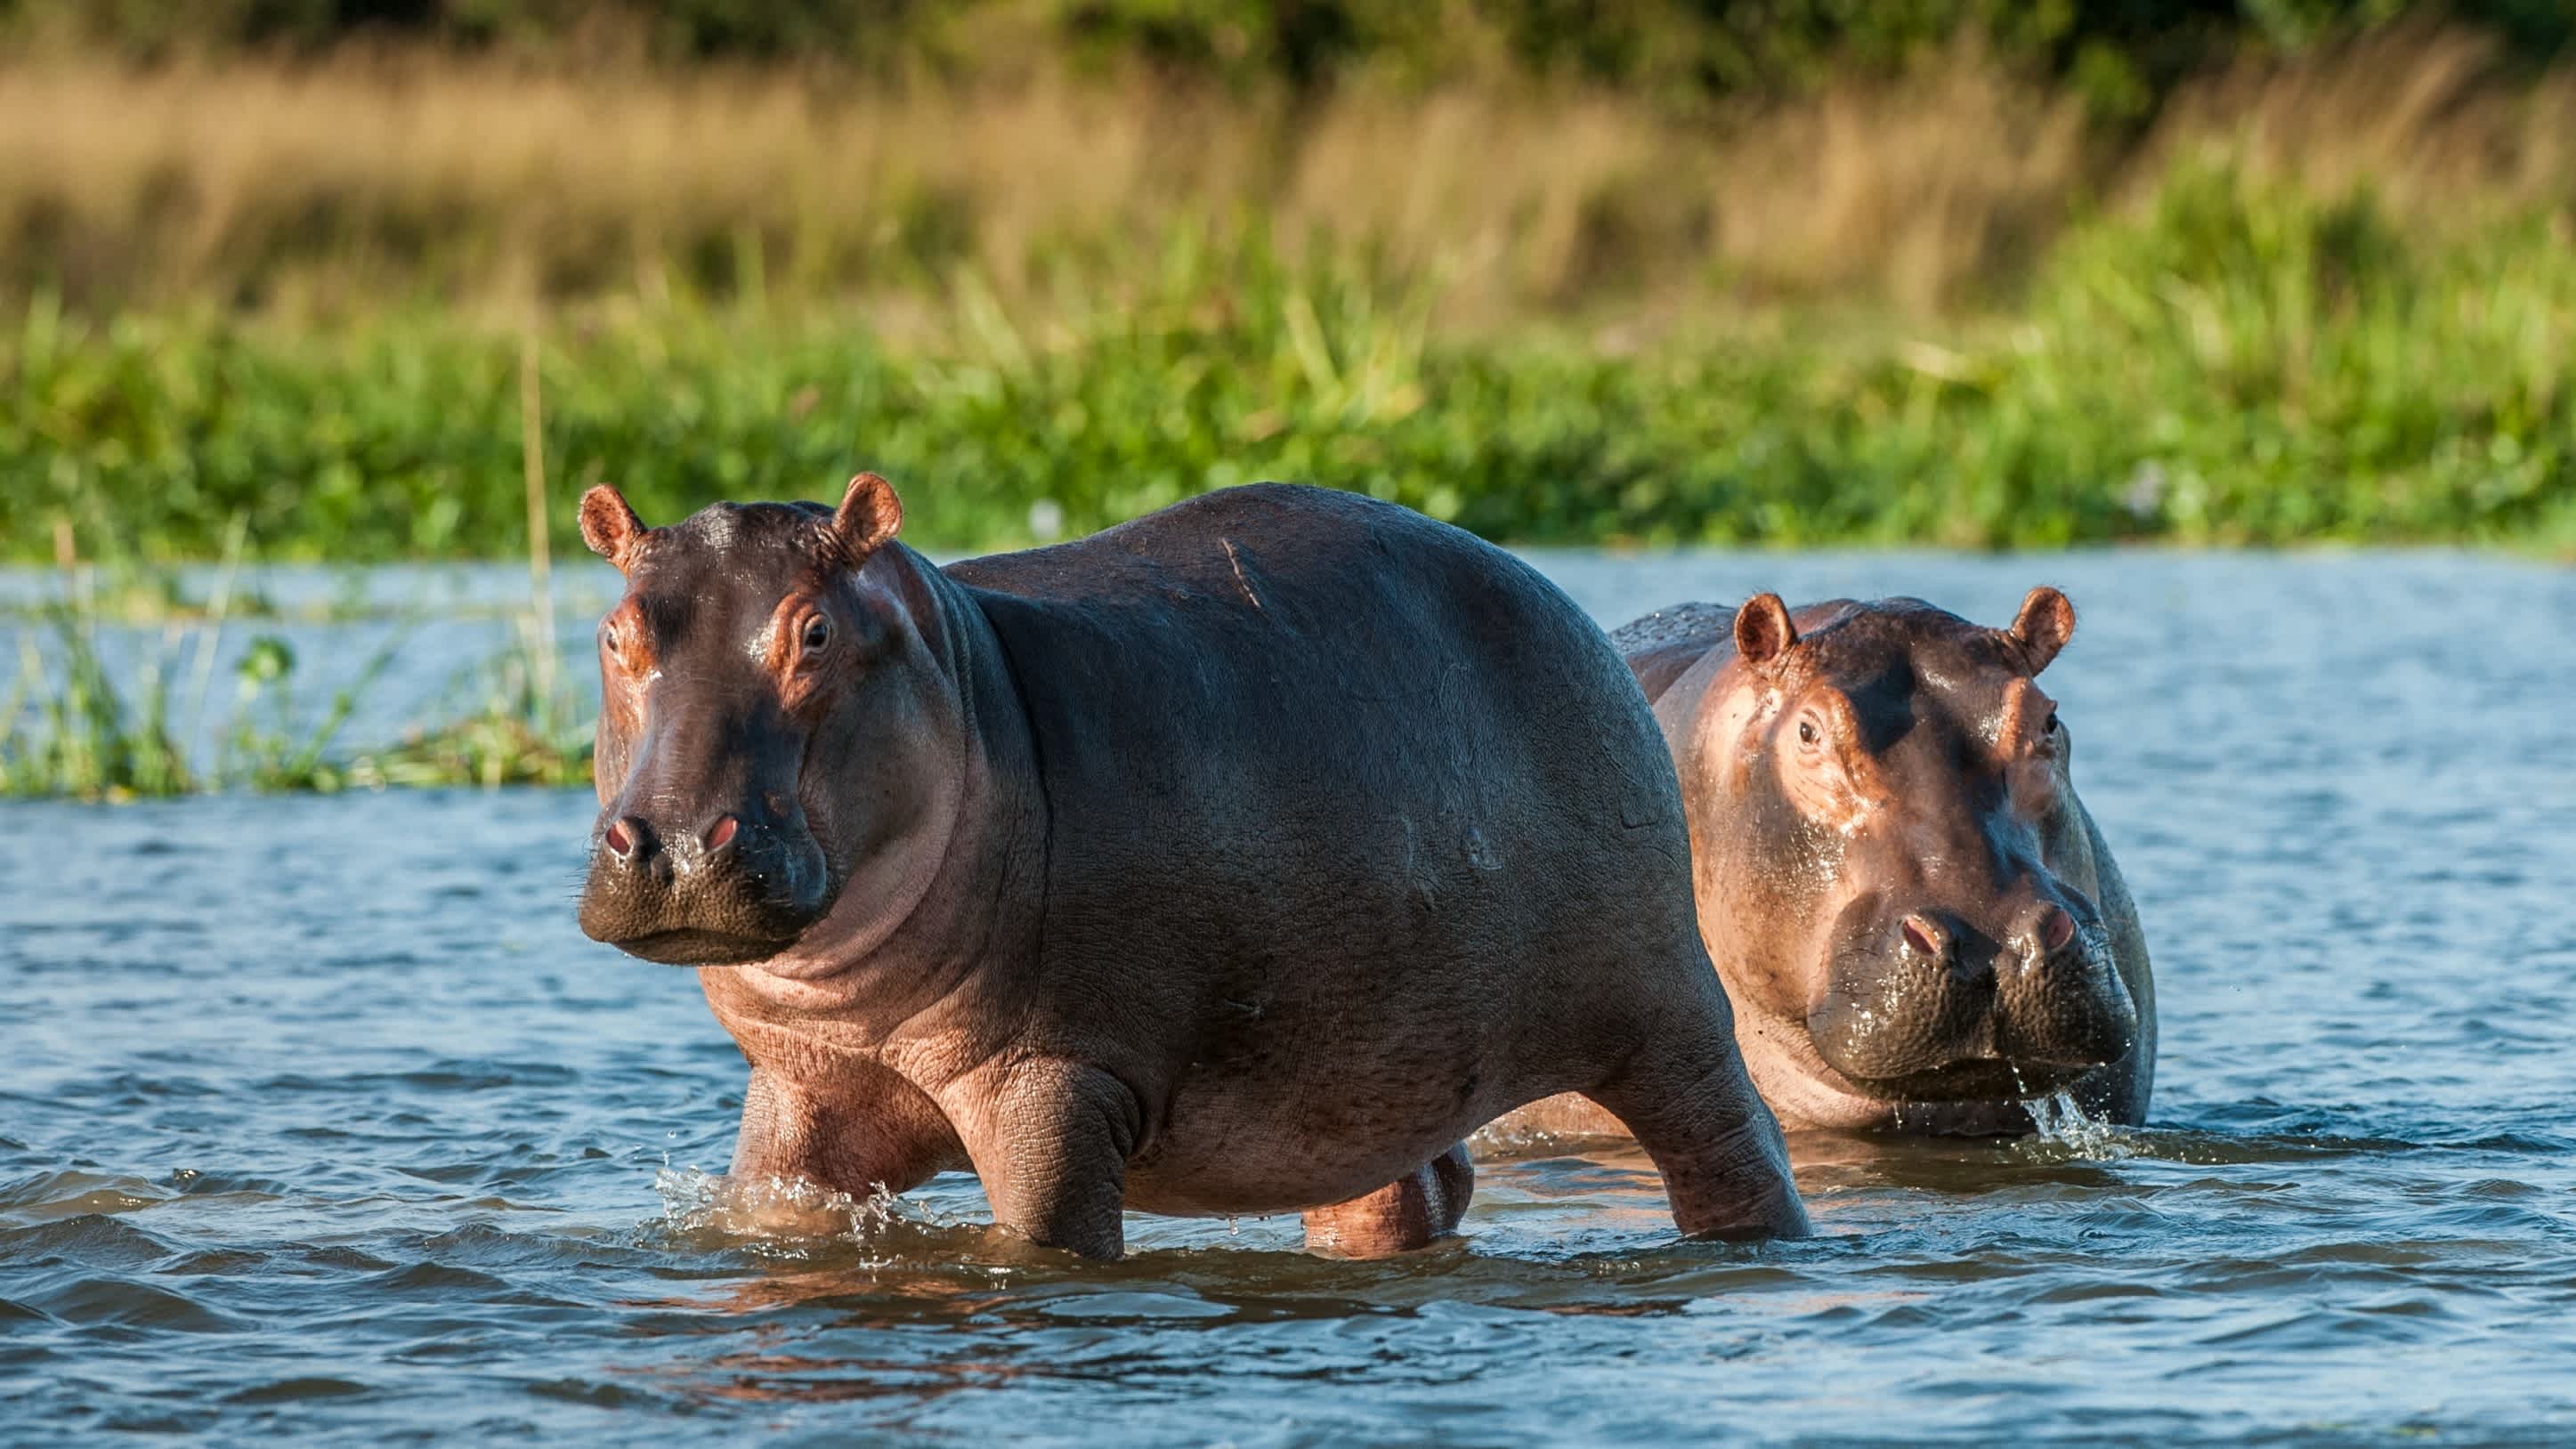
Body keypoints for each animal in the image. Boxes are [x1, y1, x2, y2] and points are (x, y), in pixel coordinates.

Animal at [577, 475, 1813, 1260]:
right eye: (614, 632)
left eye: (815, 631)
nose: (673, 841)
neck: (964, 679)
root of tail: (1568, 608)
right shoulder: (800, 1088)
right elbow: (772, 1211)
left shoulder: (1054, 1080)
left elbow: (1046, 1240)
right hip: (1369, 1066)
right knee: (1403, 1191)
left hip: (1662, 1010)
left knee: (1731, 1147)